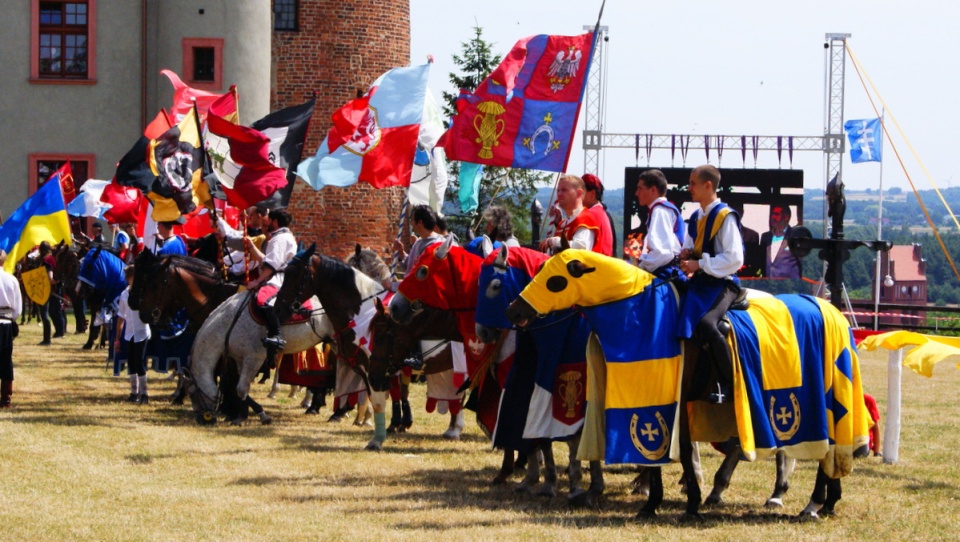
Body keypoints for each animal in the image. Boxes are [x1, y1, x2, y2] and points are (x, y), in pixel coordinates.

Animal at [506, 251, 872, 524]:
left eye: (555, 281)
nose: (514, 311)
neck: (643, 317)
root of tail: (831, 310)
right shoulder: (653, 403)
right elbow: (663, 451)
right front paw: (653, 503)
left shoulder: (671, 401)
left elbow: (679, 451)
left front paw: (689, 503)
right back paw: (825, 502)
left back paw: (812, 503)